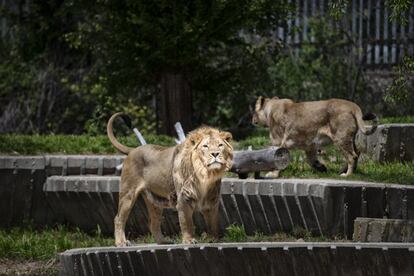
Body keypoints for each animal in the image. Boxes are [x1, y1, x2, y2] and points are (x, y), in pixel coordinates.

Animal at [106, 112, 233, 246]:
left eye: (220, 145)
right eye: (205, 146)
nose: (215, 154)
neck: (205, 175)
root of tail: (133, 149)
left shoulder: (212, 201)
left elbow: (213, 223)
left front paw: (214, 239)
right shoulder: (184, 199)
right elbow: (187, 222)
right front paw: (189, 240)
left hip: (155, 202)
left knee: (153, 222)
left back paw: (163, 241)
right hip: (128, 194)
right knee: (118, 219)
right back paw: (121, 242)